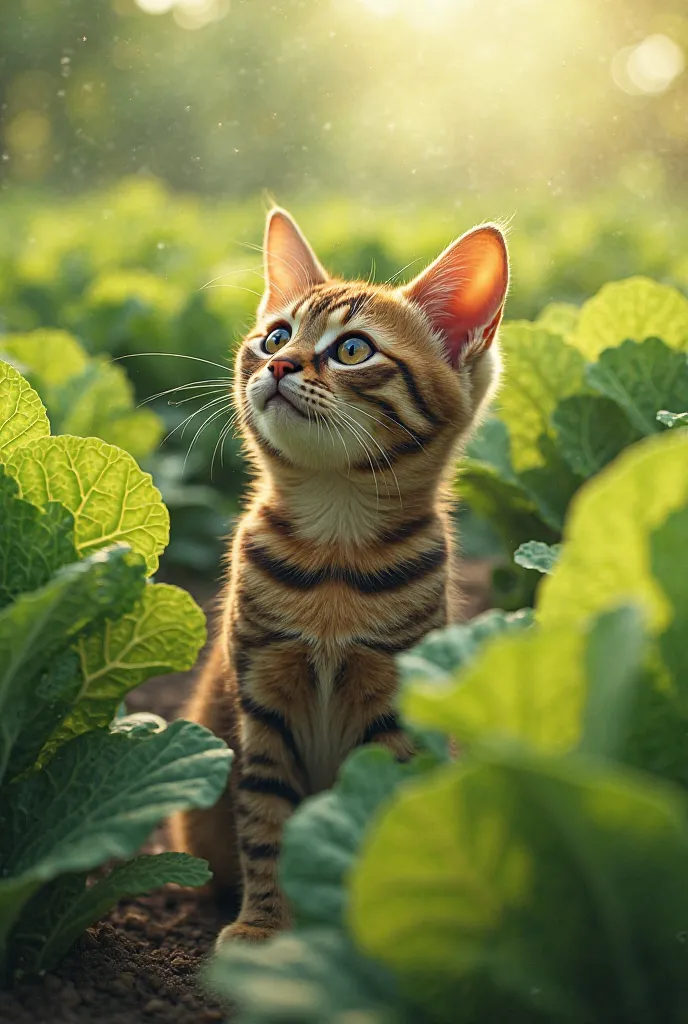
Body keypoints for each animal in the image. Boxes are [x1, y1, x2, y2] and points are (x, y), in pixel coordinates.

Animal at [168, 207, 507, 942]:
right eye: (275, 335)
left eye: (353, 350)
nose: (278, 362)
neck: (334, 558)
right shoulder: (262, 696)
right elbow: (265, 818)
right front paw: (264, 929)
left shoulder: (392, 706)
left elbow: (369, 813)